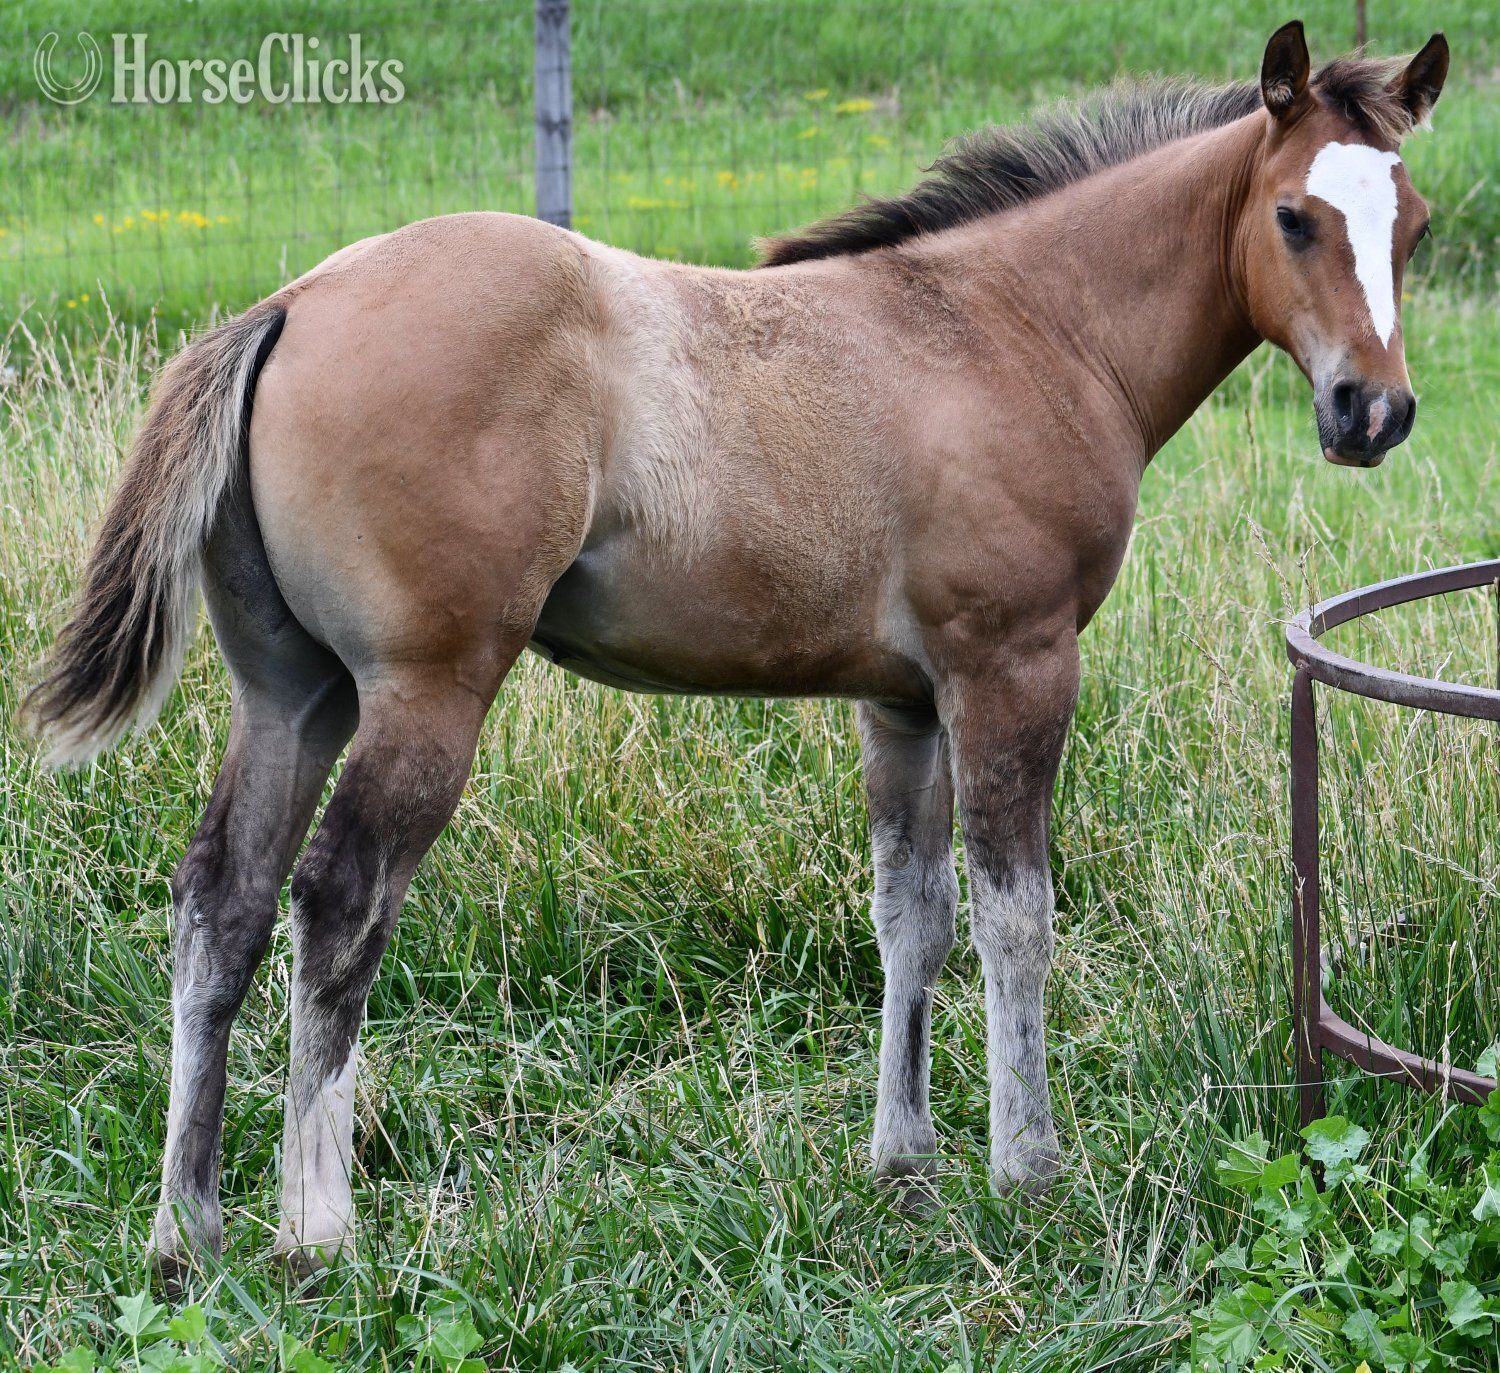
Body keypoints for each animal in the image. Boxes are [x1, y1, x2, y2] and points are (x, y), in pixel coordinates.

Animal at [24, 22, 1448, 1278]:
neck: (1021, 329)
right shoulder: (1014, 667)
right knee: (337, 901)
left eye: (1415, 224)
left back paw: (187, 1228)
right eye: (1295, 219)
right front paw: (1028, 1170)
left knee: (222, 903)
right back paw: (317, 1227)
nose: (1371, 412)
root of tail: (291, 301)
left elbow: (912, 917)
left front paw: (905, 1163)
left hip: (292, 693)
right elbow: (1016, 917)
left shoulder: (904, 701)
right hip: (424, 688)